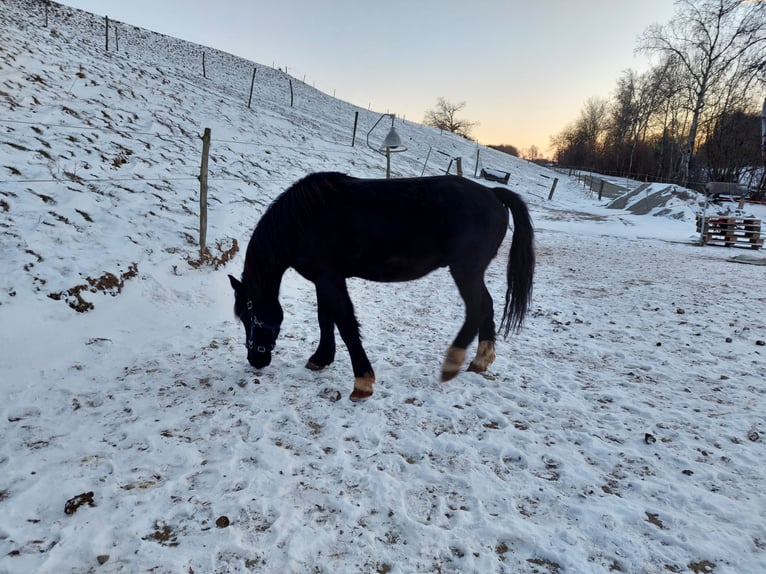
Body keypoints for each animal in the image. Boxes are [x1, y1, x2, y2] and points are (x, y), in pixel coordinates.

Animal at [228, 171, 534, 401]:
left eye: (249, 314)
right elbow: (325, 317)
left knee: (477, 307)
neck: (303, 220)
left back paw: (452, 363)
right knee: (487, 305)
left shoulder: (329, 278)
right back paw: (481, 360)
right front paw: (321, 358)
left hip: (465, 271)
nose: (256, 360)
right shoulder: (324, 279)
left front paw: (362, 382)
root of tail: (493, 194)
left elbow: (345, 323)